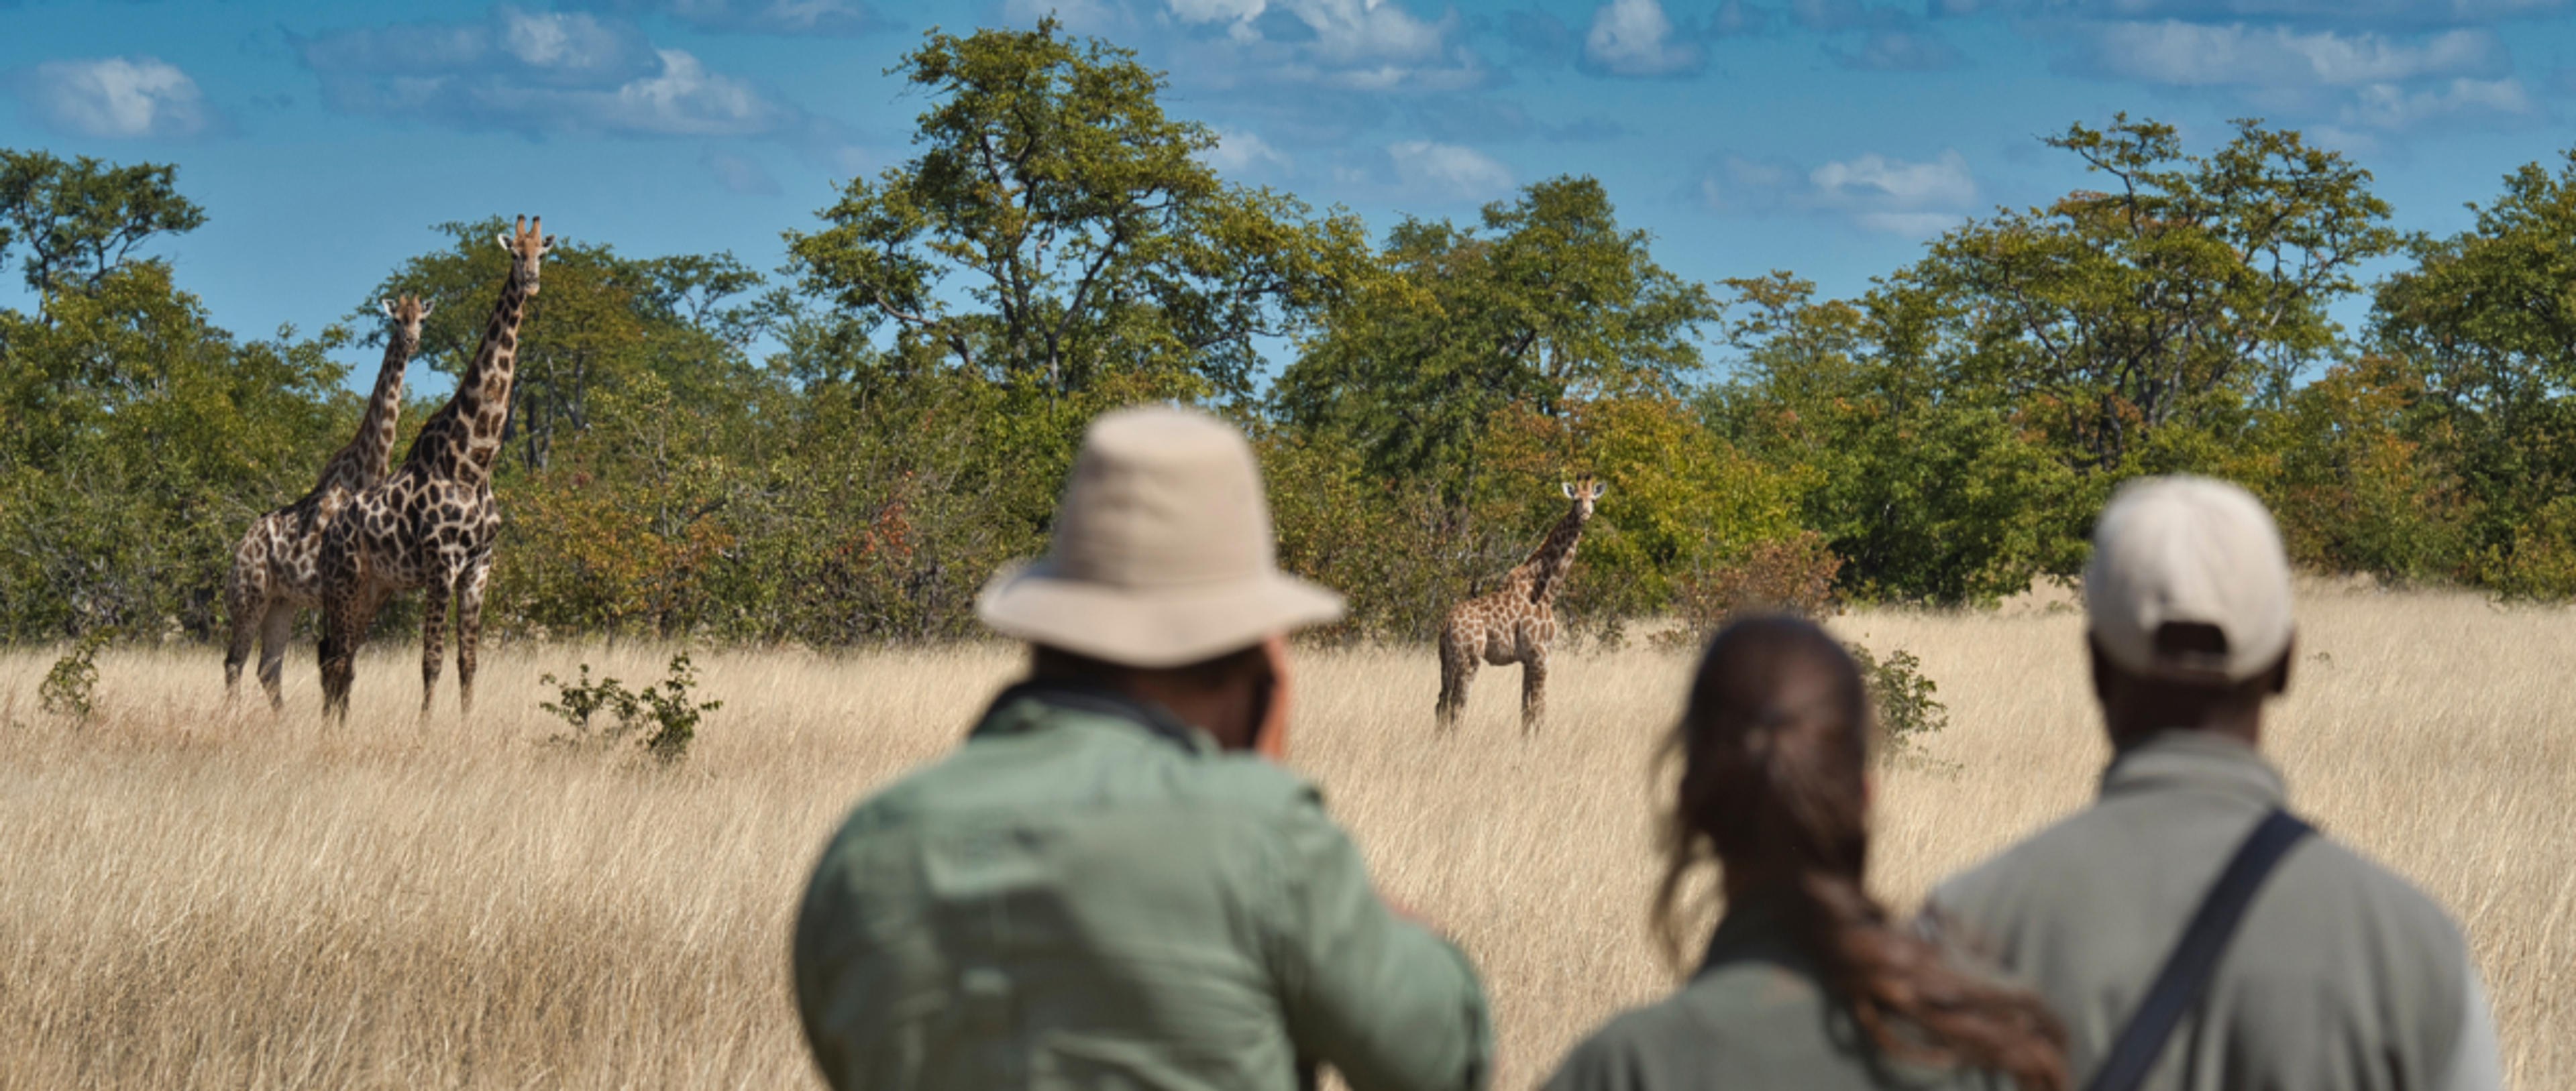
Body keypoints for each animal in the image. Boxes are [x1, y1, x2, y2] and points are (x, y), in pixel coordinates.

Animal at [221, 294, 433, 710]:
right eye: (396, 320)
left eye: (421, 320)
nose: (412, 341)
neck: (367, 470)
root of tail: (241, 545)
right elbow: (338, 663)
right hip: (249, 595)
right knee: (234, 662)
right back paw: (231, 718)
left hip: (282, 601)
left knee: (267, 667)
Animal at [317, 216, 553, 720]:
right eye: (513, 253)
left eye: (541, 252)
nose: (530, 281)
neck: (474, 461)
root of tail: (329, 531)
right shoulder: (442, 562)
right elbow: (432, 661)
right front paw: (425, 728)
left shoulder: (479, 565)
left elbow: (468, 660)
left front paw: (465, 727)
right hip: (343, 582)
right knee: (335, 653)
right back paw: (329, 727)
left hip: (374, 588)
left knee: (339, 653)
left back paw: (338, 726)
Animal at [1432, 475, 1607, 730]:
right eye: (1575, 500)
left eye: (1593, 499)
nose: (1585, 514)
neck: (1546, 591)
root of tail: (1445, 624)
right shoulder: (1541, 655)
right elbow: (1540, 710)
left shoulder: (1528, 660)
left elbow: (1526, 711)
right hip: (1469, 658)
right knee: (1457, 706)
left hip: (1447, 661)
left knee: (1441, 705)